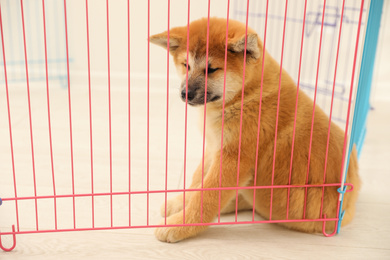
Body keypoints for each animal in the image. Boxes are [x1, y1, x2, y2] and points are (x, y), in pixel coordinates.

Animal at [149, 17, 360, 243]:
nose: (184, 93)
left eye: (212, 69)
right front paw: (180, 202)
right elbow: (198, 182)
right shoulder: (215, 147)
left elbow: (206, 196)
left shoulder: (233, 160)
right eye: (185, 65)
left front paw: (179, 224)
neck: (245, 95)